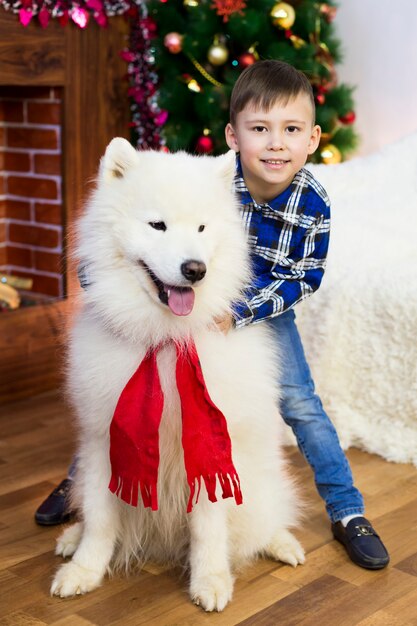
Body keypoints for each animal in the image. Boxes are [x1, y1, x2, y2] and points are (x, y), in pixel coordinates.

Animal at [51, 136, 306, 608]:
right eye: (158, 226)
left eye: (203, 229)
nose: (195, 269)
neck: (165, 339)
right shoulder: (104, 442)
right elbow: (100, 518)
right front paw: (83, 570)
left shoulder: (209, 452)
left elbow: (208, 528)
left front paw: (210, 581)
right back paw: (70, 538)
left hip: (258, 485)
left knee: (267, 520)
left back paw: (283, 544)